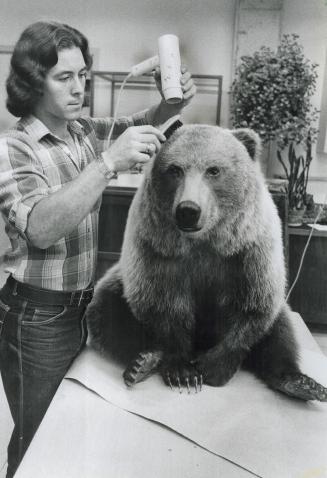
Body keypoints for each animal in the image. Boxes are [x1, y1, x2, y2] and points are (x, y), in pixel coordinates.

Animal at [86, 125, 327, 402]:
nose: (188, 210)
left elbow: (252, 306)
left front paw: (214, 367)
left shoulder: (249, 251)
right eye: (174, 169)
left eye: (213, 170)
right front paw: (183, 373)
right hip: (116, 286)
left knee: (280, 331)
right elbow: (162, 305)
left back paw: (300, 383)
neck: (204, 240)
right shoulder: (157, 248)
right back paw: (143, 362)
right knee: (108, 315)